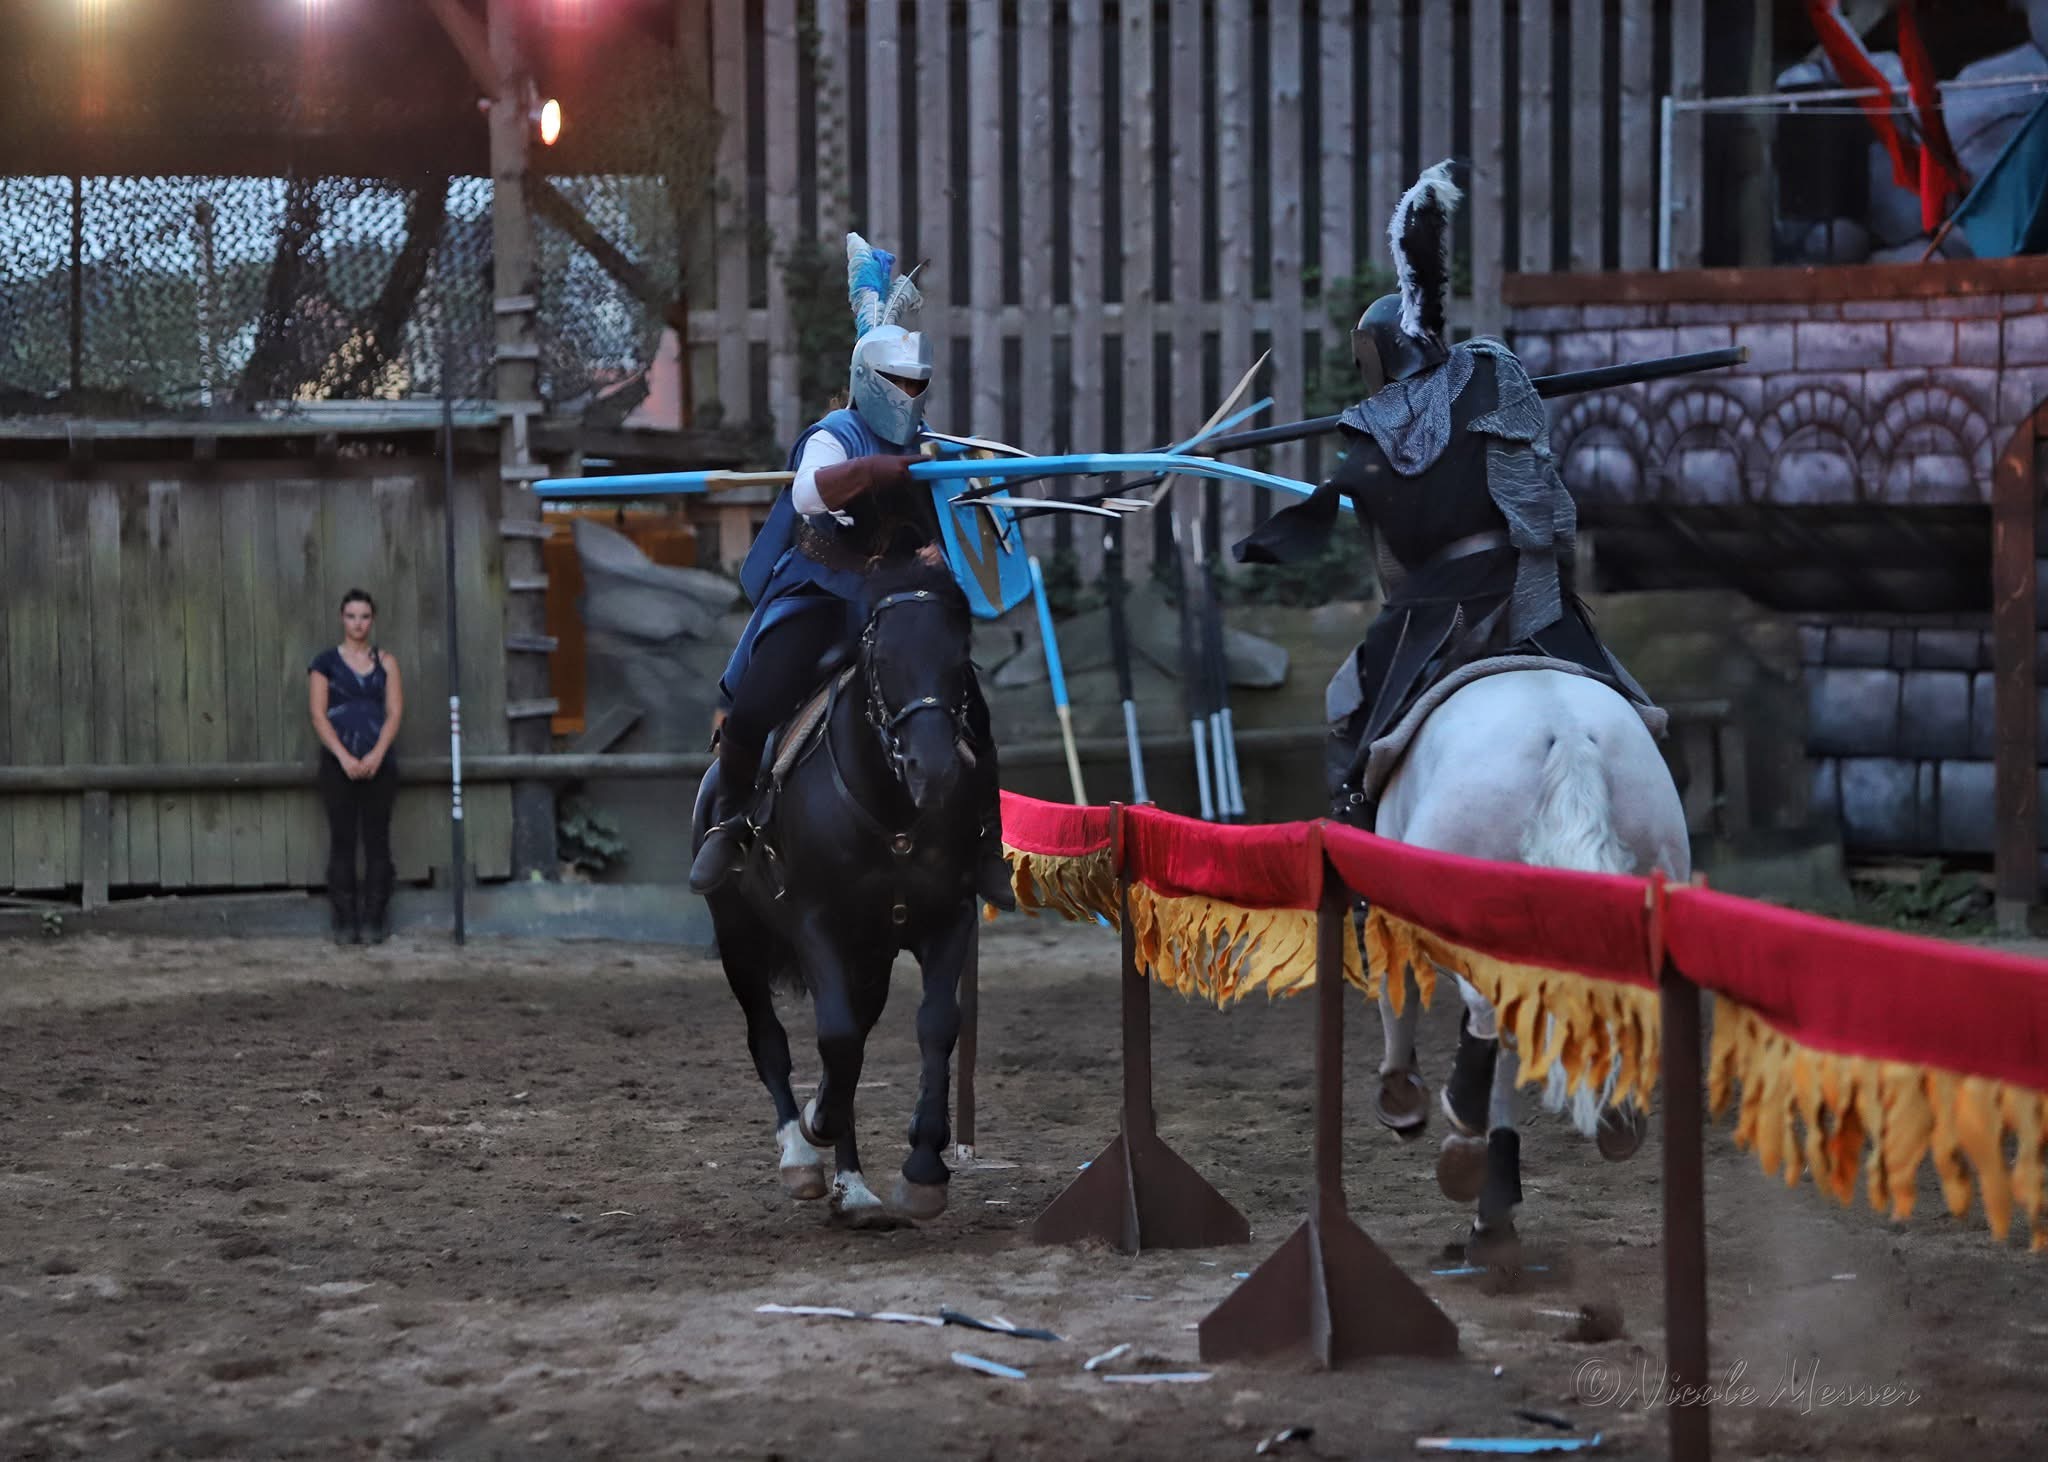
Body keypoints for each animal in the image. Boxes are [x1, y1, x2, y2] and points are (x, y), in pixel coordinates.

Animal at [692, 559, 992, 1228]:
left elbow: (936, 1026)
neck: (894, 812)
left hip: (869, 958)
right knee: (772, 1041)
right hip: (739, 937)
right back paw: (802, 1156)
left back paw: (853, 1187)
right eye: (883, 659)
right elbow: (834, 1040)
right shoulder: (815, 923)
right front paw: (815, 1122)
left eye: (960, 658)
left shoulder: (950, 919)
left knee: (850, 1048)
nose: (935, 770)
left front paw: (924, 1167)